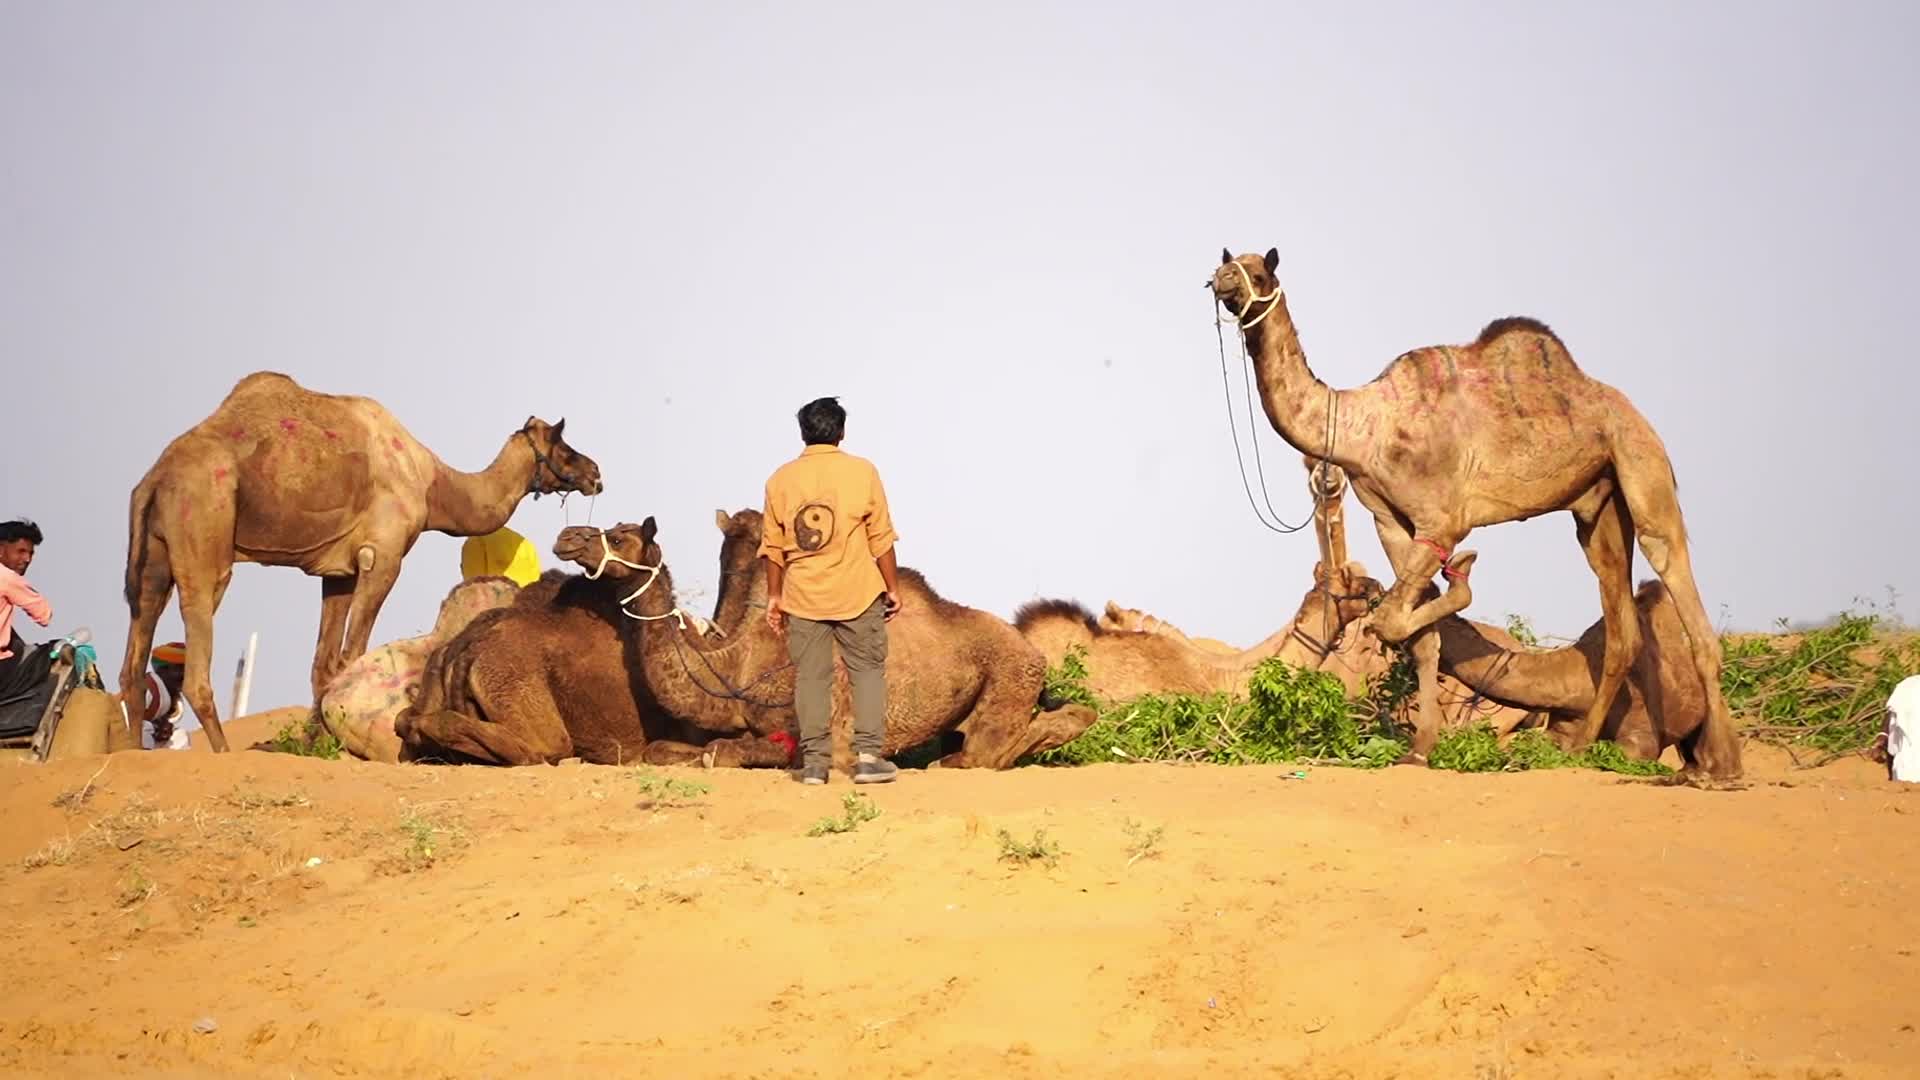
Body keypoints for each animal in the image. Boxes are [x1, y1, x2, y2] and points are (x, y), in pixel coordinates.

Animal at [549, 517, 1098, 772]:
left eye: (621, 535)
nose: (568, 535)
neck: (738, 664)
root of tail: (1030, 652)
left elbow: (729, 751)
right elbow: (668, 749)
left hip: (1009, 671)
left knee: (988, 749)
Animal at [1211, 248, 1741, 779]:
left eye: (1259, 272)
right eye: (1227, 263)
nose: (1222, 280)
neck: (1367, 427)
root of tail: (1638, 418)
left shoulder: (1443, 521)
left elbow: (1393, 620)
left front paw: (1461, 577)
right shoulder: (1391, 519)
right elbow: (1418, 636)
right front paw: (1419, 748)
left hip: (1641, 464)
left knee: (1671, 564)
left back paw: (1718, 769)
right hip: (1599, 506)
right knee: (1620, 622)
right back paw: (1581, 747)